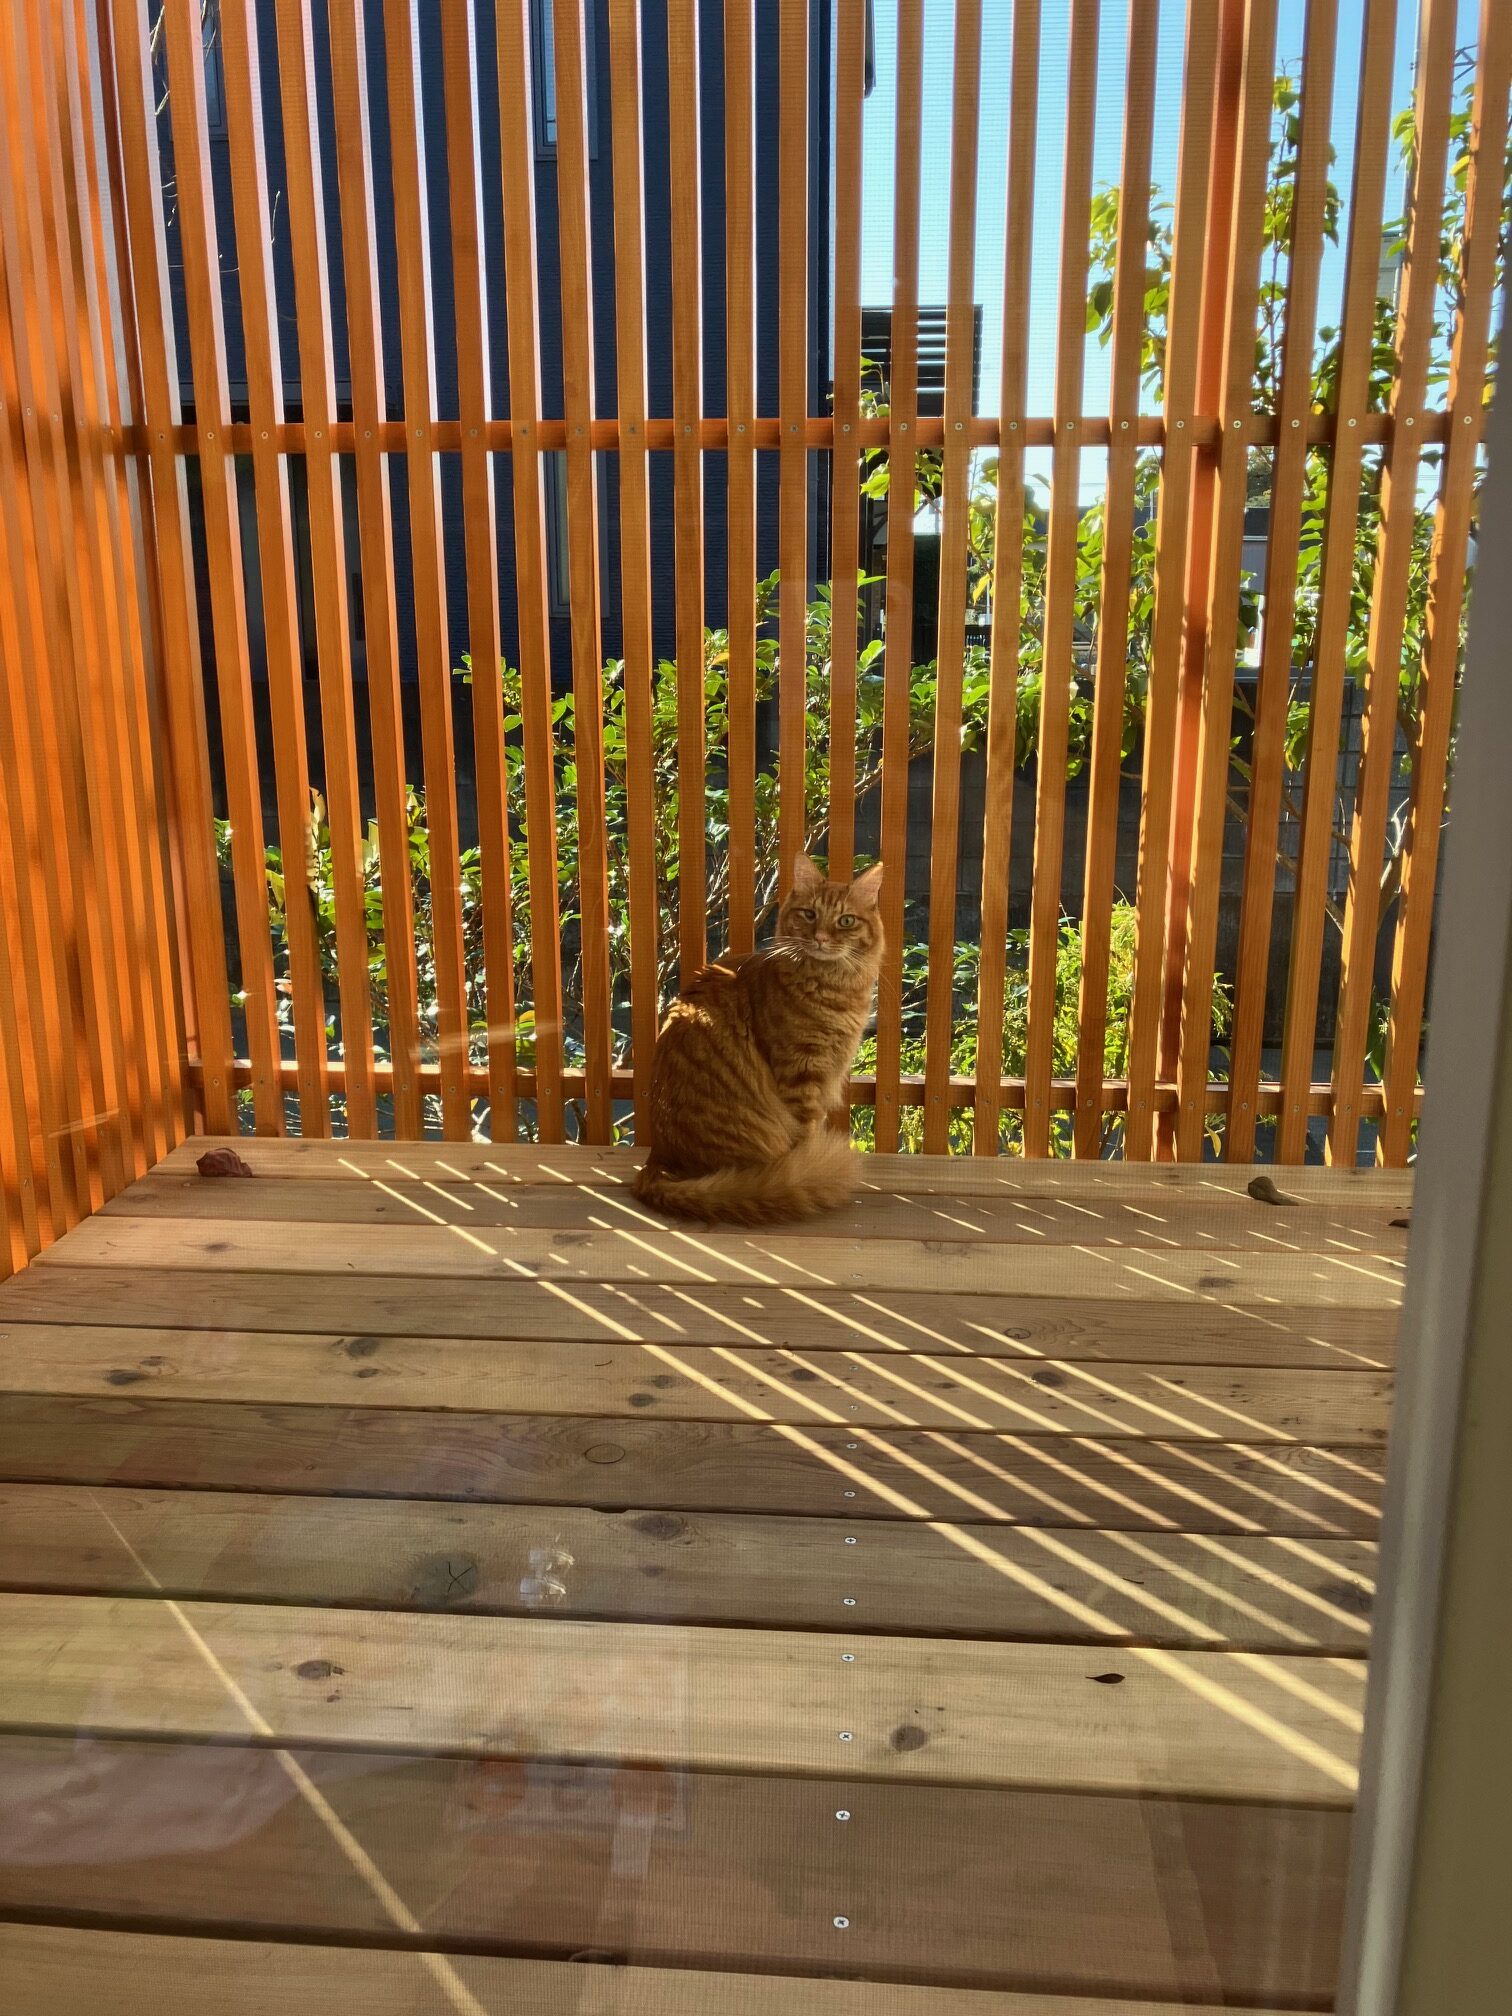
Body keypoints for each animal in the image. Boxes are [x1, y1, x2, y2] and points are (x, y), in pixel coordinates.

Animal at [632, 855, 885, 1225]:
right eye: (810, 914)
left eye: (846, 921)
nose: (821, 938)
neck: (832, 986)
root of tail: (656, 1162)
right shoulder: (802, 1074)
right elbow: (807, 1137)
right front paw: (809, 1165)